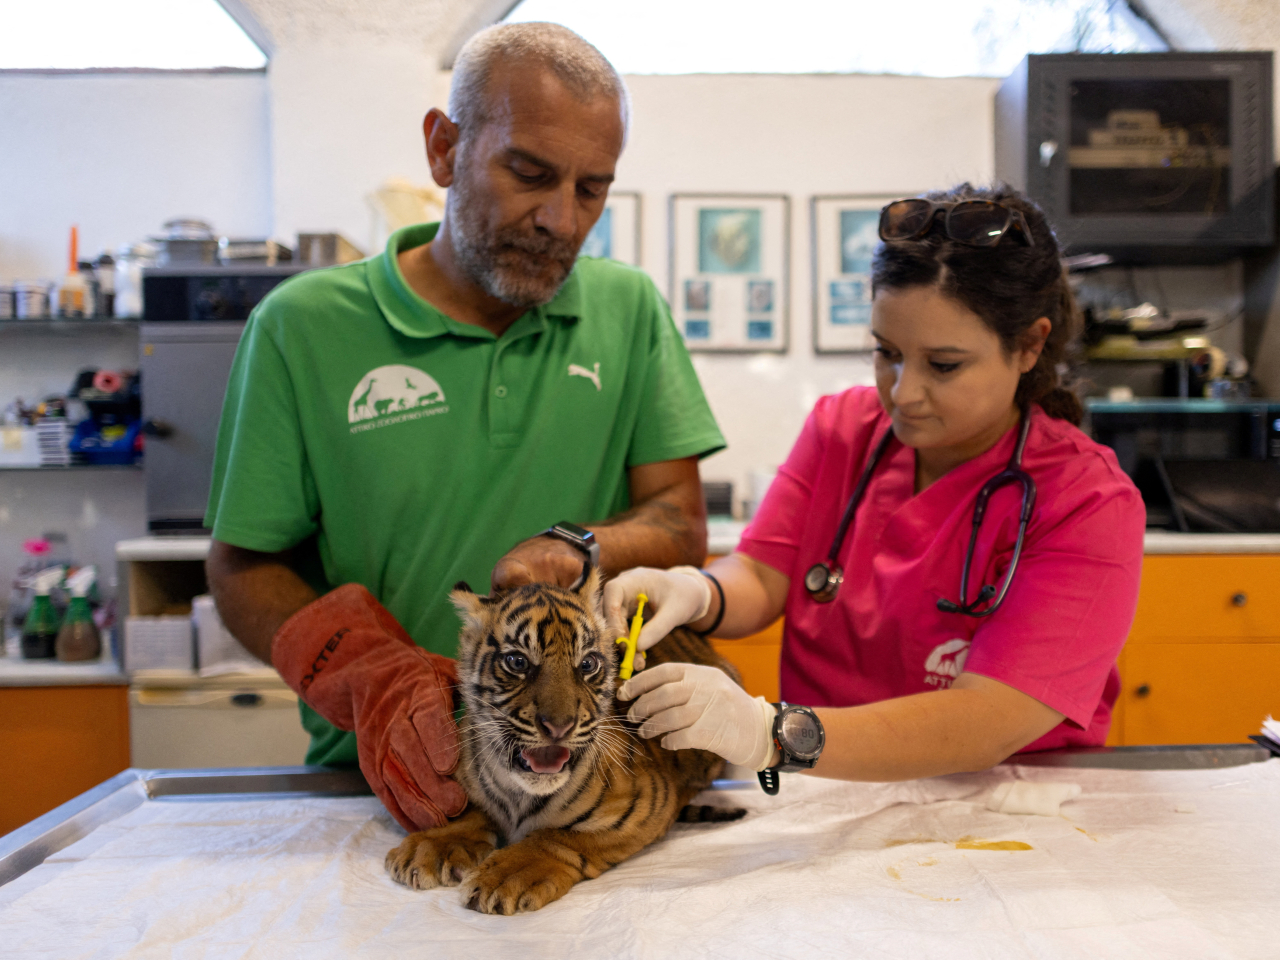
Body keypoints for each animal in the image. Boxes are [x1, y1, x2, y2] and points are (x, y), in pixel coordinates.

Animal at [384, 568, 746, 915]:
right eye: (517, 662)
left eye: (587, 664)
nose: (559, 727)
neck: (519, 795)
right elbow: (468, 811)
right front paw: (429, 847)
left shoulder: (650, 805)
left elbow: (560, 837)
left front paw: (506, 876)